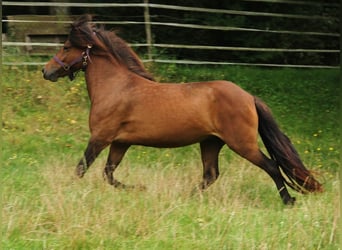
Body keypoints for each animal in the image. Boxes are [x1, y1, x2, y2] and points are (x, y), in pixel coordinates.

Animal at [41, 15, 322, 205]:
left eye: (66, 47)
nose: (46, 71)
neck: (116, 87)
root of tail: (248, 97)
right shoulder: (120, 143)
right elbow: (108, 174)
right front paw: (140, 188)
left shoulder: (100, 138)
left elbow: (82, 169)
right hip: (210, 143)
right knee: (211, 175)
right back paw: (185, 197)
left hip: (242, 144)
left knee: (271, 166)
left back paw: (289, 201)